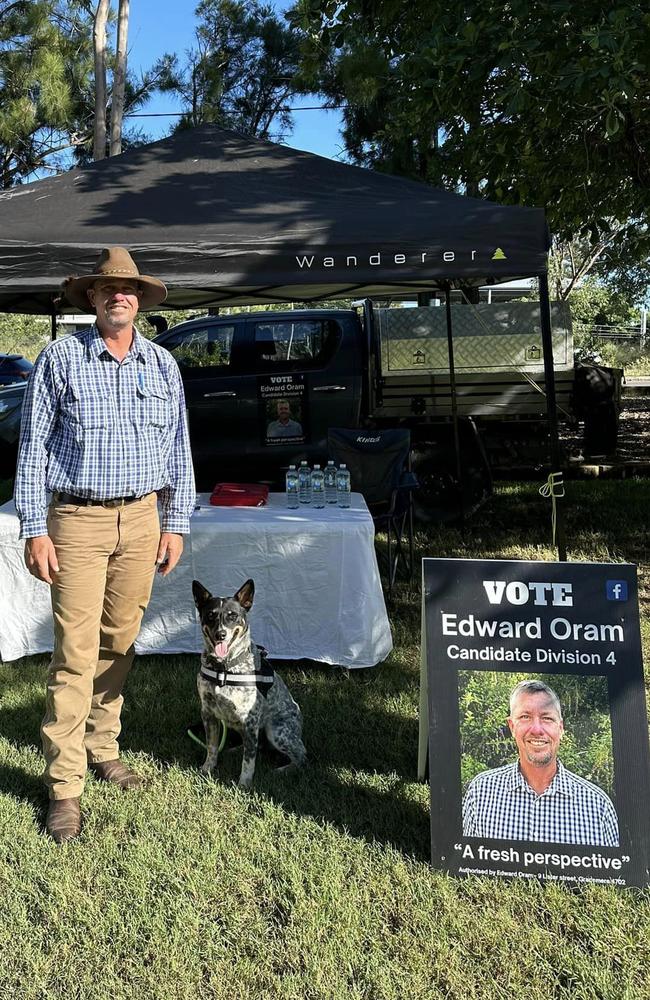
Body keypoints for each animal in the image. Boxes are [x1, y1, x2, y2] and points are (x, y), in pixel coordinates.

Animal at [191, 580, 306, 788]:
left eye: (232, 615)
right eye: (210, 615)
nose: (220, 634)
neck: (223, 669)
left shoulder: (250, 719)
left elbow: (248, 761)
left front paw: (243, 785)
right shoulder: (208, 712)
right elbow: (211, 746)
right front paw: (207, 769)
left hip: (276, 731)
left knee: (301, 756)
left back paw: (282, 771)